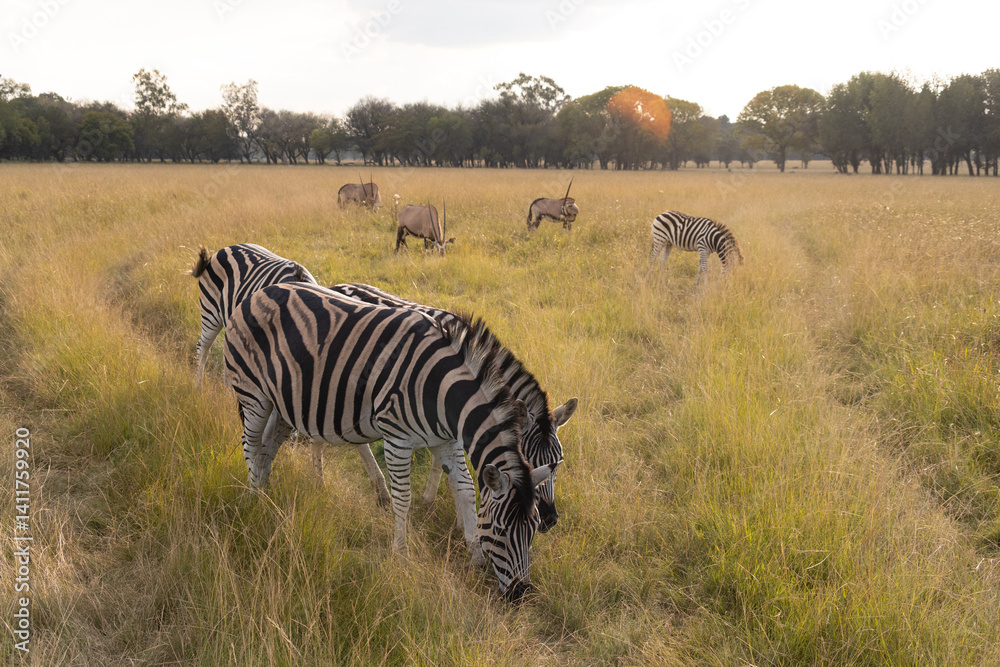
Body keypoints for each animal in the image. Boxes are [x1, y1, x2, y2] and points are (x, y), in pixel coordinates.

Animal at [328, 282, 577, 533]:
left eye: (559, 461)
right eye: (528, 461)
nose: (549, 520)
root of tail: (338, 285)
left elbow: (444, 466)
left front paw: (443, 509)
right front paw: (456, 518)